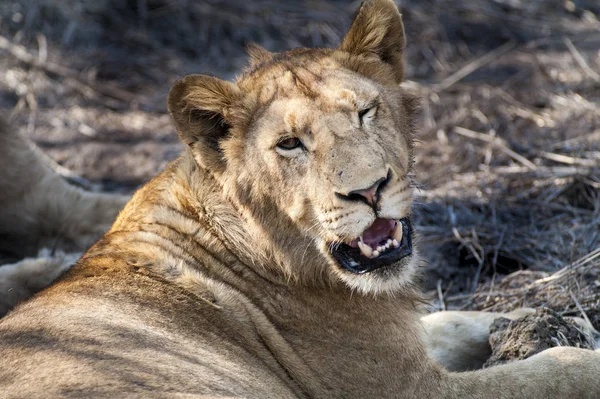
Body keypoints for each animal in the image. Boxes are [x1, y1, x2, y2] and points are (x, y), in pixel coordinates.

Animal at [1, 0, 600, 396]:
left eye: (365, 112)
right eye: (290, 144)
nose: (369, 189)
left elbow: (447, 319)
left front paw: (525, 316)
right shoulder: (410, 390)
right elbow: (557, 369)